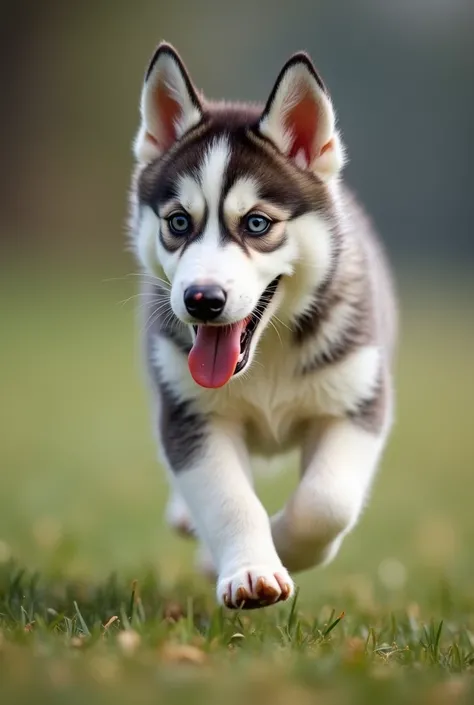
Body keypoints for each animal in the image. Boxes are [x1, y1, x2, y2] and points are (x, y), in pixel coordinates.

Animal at [129, 42, 396, 612]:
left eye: (256, 224)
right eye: (178, 222)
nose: (202, 300)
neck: (266, 355)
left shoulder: (356, 399)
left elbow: (325, 503)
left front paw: (274, 546)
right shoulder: (191, 415)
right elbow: (230, 500)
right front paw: (249, 571)